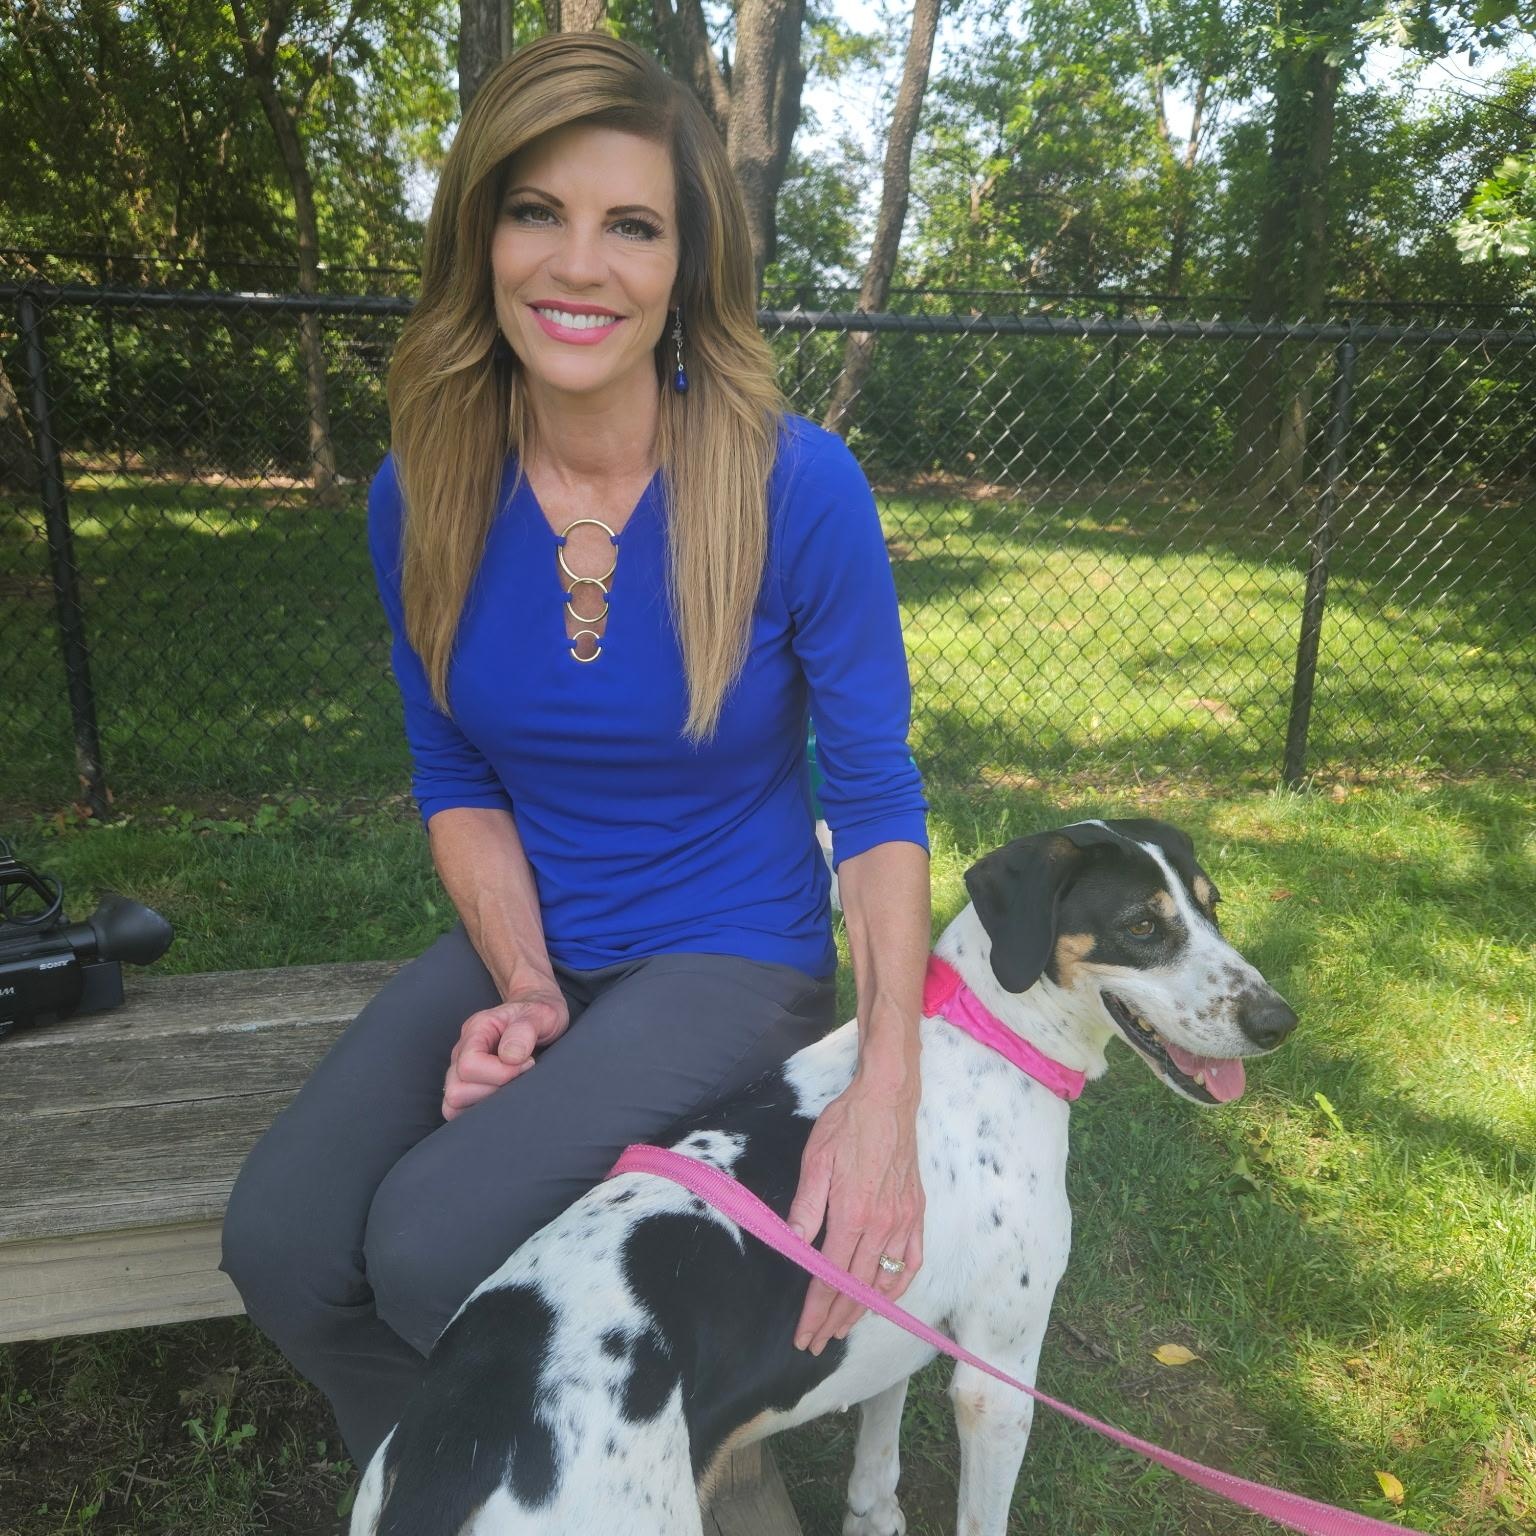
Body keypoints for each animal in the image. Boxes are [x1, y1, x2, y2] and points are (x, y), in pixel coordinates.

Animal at [349, 818, 1297, 1536]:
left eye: (1213, 908)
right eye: (1141, 926)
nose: (1278, 1020)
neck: (984, 1036)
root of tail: (458, 1448)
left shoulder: (896, 1308)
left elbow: (878, 1441)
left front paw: (873, 1517)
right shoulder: (997, 1373)